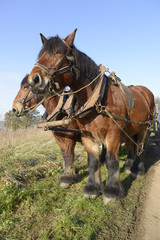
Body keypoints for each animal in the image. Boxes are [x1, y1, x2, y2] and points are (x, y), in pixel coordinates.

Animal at [27, 29, 155, 203]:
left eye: (60, 52)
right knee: (131, 146)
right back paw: (129, 166)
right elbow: (93, 161)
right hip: (130, 129)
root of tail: (145, 91)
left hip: (145, 128)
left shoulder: (113, 134)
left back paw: (138, 169)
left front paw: (112, 191)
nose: (34, 80)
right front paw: (92, 189)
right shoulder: (87, 135)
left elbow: (111, 161)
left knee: (141, 147)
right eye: (41, 54)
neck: (97, 98)